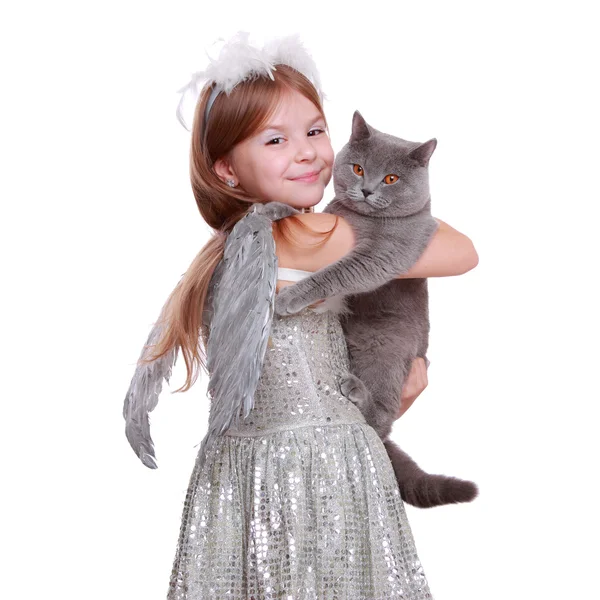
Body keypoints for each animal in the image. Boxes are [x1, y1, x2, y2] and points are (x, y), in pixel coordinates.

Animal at [276, 110, 478, 508]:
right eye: (357, 168)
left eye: (391, 179)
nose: (368, 190)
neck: (360, 218)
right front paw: (274, 209)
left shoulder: (384, 254)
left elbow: (337, 272)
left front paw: (291, 297)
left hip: (387, 343)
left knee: (381, 419)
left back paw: (359, 393)